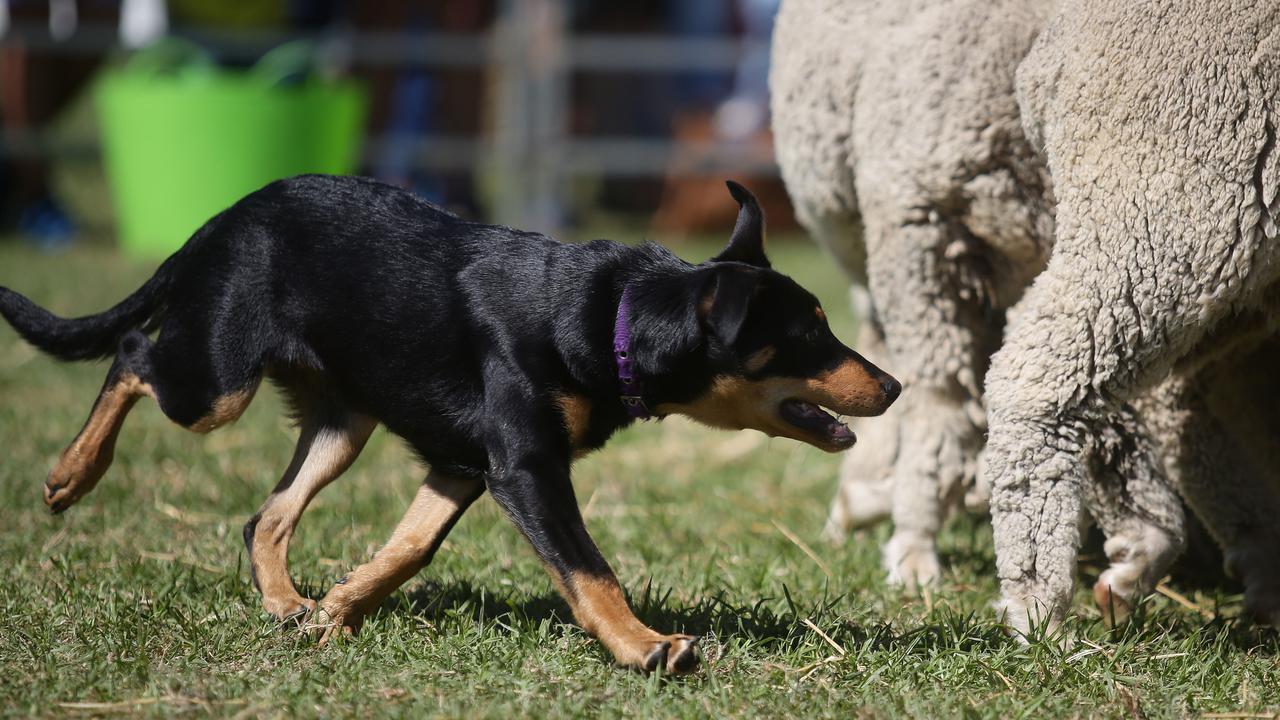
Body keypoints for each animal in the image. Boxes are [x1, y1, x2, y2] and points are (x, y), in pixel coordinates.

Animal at [0, 175, 901, 671]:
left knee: (267, 515)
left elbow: (408, 548)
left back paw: (286, 601)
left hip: (344, 418)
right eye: (811, 334)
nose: (894, 386)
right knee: (131, 355)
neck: (608, 318)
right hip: (217, 385)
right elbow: (590, 571)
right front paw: (647, 648)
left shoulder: (463, 466)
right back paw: (70, 476)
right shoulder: (526, 470)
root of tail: (220, 220)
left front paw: (334, 612)